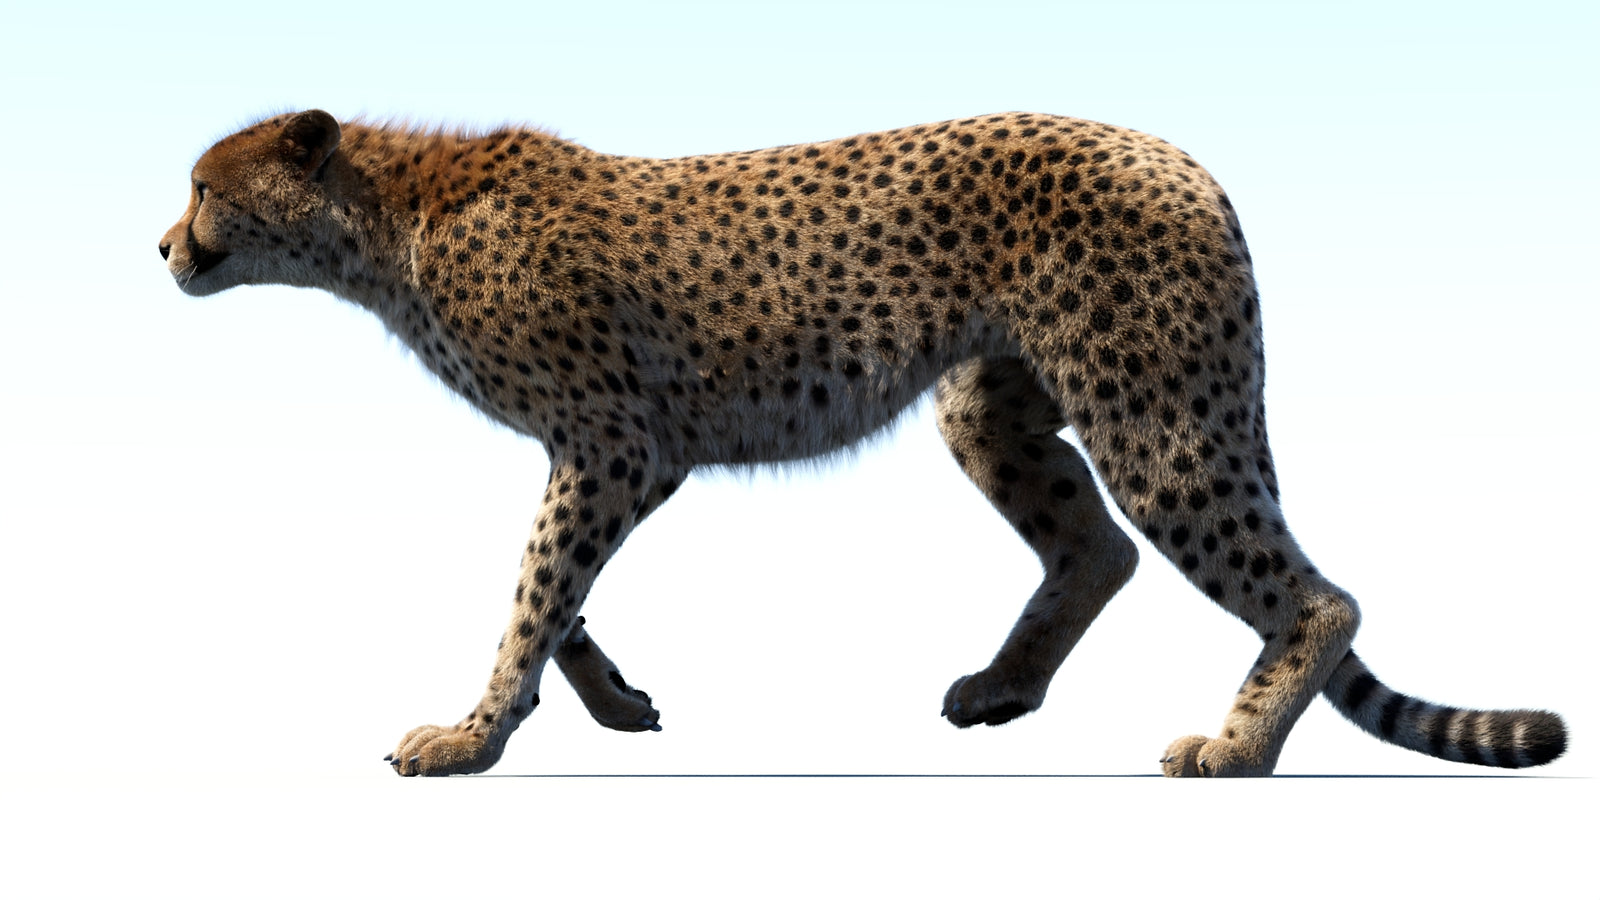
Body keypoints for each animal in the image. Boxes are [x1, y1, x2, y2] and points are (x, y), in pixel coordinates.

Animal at [160, 109, 1567, 776]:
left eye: (205, 188)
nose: (165, 244)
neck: (382, 222)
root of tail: (1176, 155)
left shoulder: (613, 445)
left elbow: (529, 594)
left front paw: (471, 734)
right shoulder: (617, 452)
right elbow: (557, 599)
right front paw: (609, 701)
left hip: (1150, 406)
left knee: (1317, 597)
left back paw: (1235, 748)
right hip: (990, 407)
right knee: (1096, 551)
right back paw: (1003, 686)